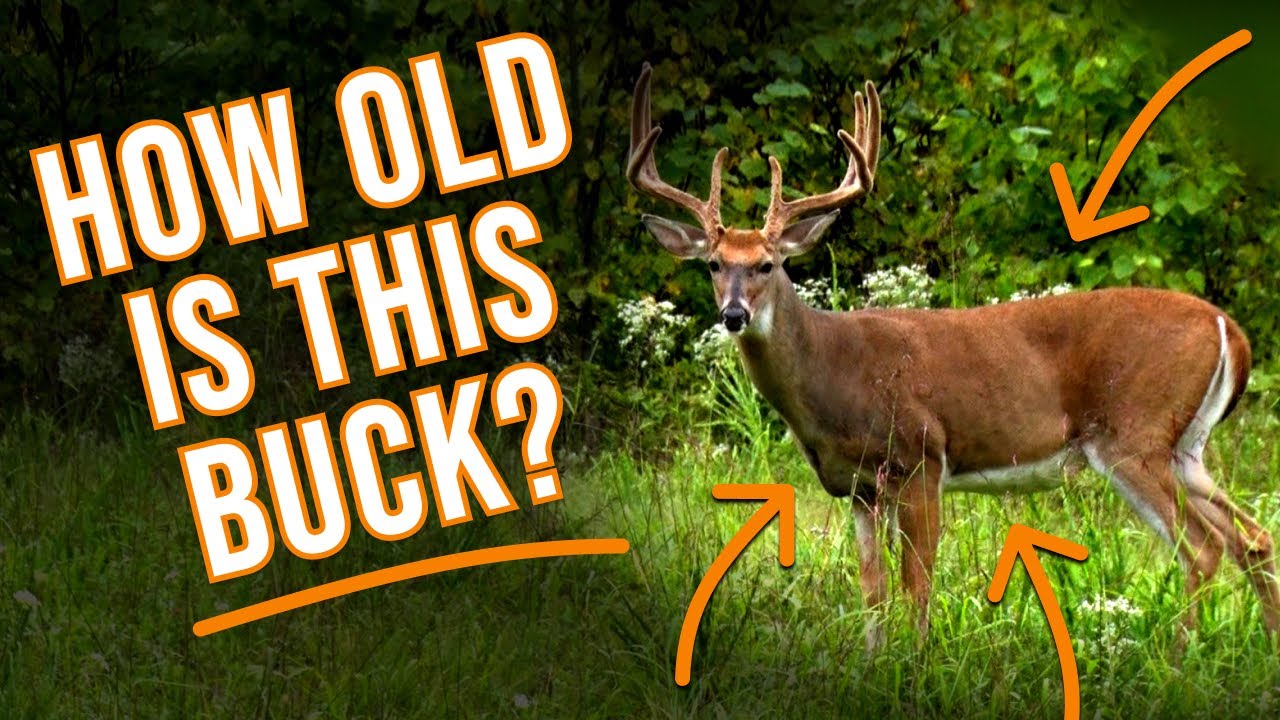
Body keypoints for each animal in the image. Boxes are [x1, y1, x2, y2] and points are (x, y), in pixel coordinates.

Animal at [626, 63, 1280, 650]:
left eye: (768, 264)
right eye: (714, 264)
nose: (733, 315)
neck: (832, 377)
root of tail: (1229, 327)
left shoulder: (922, 455)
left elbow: (917, 587)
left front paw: (917, 669)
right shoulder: (858, 488)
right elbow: (872, 591)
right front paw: (871, 666)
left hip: (1132, 431)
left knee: (1203, 548)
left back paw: (1177, 661)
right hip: (1185, 446)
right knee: (1252, 537)